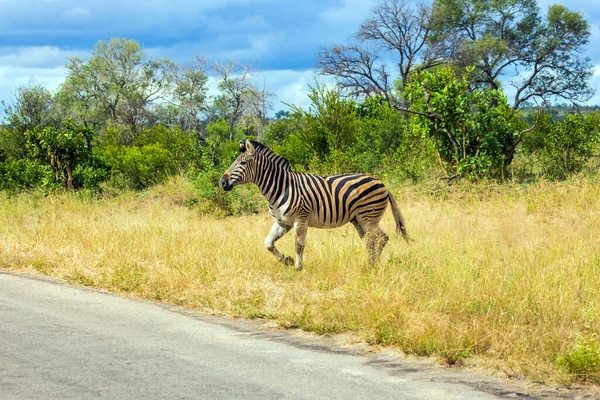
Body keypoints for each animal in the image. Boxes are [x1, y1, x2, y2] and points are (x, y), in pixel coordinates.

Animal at [220, 138, 408, 272]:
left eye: (243, 163)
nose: (222, 182)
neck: (281, 187)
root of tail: (382, 183)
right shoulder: (282, 222)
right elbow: (268, 243)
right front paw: (287, 260)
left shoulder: (300, 219)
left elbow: (299, 244)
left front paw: (298, 268)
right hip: (358, 220)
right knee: (371, 241)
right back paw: (369, 265)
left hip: (369, 217)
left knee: (382, 237)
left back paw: (372, 266)